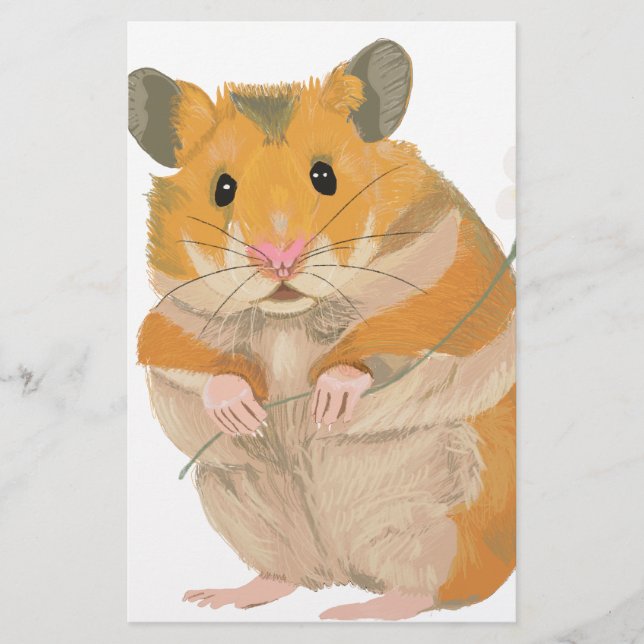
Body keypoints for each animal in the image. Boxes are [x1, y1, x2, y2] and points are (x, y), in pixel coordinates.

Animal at [129, 38, 515, 621]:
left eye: (324, 177)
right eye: (223, 189)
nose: (280, 260)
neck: (290, 317)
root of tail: (340, 571)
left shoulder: (453, 293)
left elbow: (388, 351)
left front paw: (326, 406)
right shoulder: (172, 322)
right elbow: (199, 370)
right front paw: (244, 415)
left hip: (437, 526)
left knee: (431, 591)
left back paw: (354, 612)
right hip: (241, 506)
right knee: (286, 574)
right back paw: (219, 599)